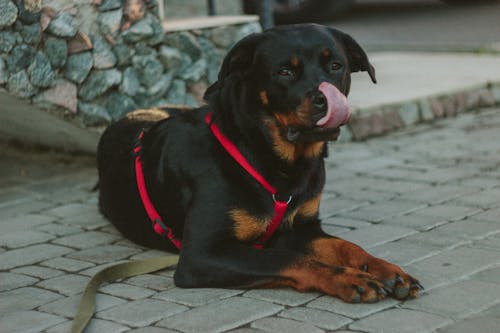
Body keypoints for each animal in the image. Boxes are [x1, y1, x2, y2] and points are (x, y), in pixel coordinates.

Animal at [95, 24, 420, 302]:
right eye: (285, 71)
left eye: (336, 66)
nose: (325, 100)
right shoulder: (202, 254)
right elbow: (289, 258)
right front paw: (349, 278)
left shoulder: (303, 227)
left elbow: (345, 245)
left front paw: (386, 270)